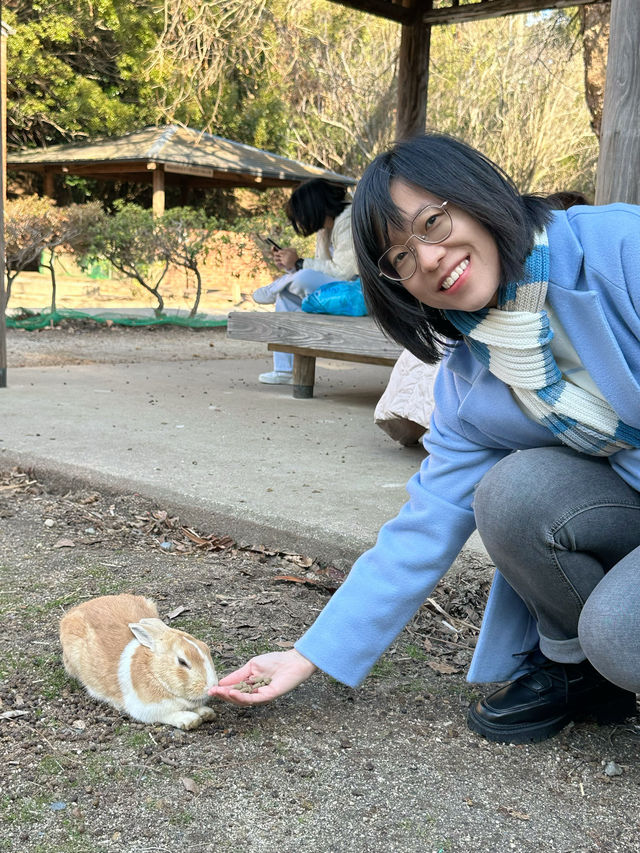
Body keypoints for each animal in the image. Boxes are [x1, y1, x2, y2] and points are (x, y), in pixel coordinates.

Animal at [60, 596, 220, 728]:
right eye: (182, 662)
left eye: (206, 648)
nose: (211, 686)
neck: (154, 671)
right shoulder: (147, 709)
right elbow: (168, 715)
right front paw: (190, 720)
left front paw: (206, 713)